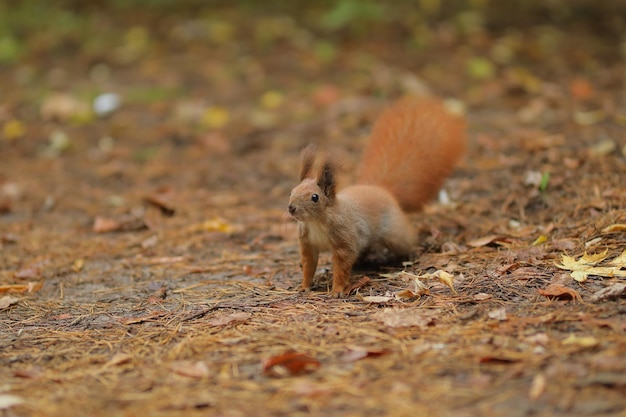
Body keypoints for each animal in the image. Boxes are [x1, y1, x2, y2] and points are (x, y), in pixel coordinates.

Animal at [286, 96, 464, 296]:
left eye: (314, 197)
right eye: (292, 191)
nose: (291, 208)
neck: (316, 222)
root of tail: (382, 190)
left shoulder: (344, 241)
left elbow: (341, 268)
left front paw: (337, 290)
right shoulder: (307, 244)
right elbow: (308, 266)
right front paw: (304, 286)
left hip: (395, 234)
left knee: (407, 240)